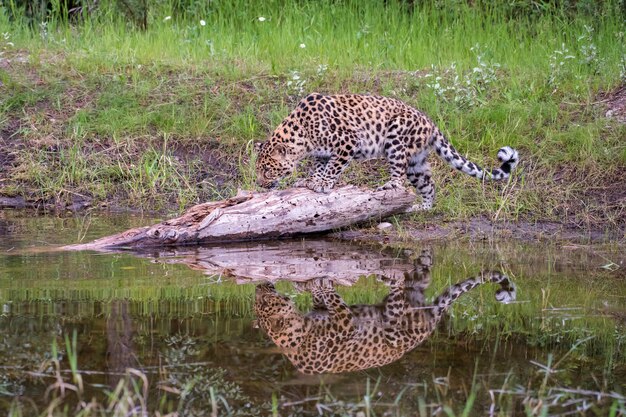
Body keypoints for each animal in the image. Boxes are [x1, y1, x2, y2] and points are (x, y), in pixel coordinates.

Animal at [251, 250, 516, 374]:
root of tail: (430, 324)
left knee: (411, 279)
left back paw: (388, 275)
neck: (300, 333)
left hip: (396, 324)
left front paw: (314, 283)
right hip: (402, 312)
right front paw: (313, 283)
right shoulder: (338, 320)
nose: (259, 287)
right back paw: (390, 275)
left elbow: (326, 295)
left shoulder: (344, 322)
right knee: (418, 279)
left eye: (261, 301)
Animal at [252, 94, 516, 211]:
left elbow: (334, 167)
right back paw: (422, 208)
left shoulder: (348, 142)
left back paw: (390, 186)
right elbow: (321, 165)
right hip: (416, 164)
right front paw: (312, 181)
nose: (260, 184)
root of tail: (431, 123)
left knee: (398, 174)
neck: (302, 134)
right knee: (429, 185)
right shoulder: (322, 152)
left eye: (267, 170)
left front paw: (323, 184)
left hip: (396, 138)